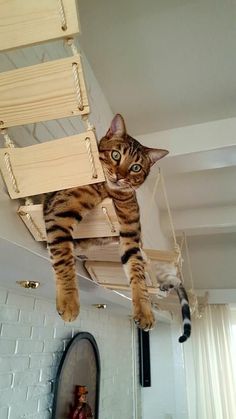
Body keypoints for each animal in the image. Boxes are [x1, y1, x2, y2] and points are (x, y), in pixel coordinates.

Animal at [43, 115, 169, 332]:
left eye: (136, 167)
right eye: (116, 155)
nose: (120, 176)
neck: (109, 192)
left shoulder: (129, 236)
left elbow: (137, 273)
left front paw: (144, 311)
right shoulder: (60, 211)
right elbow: (63, 258)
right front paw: (68, 301)